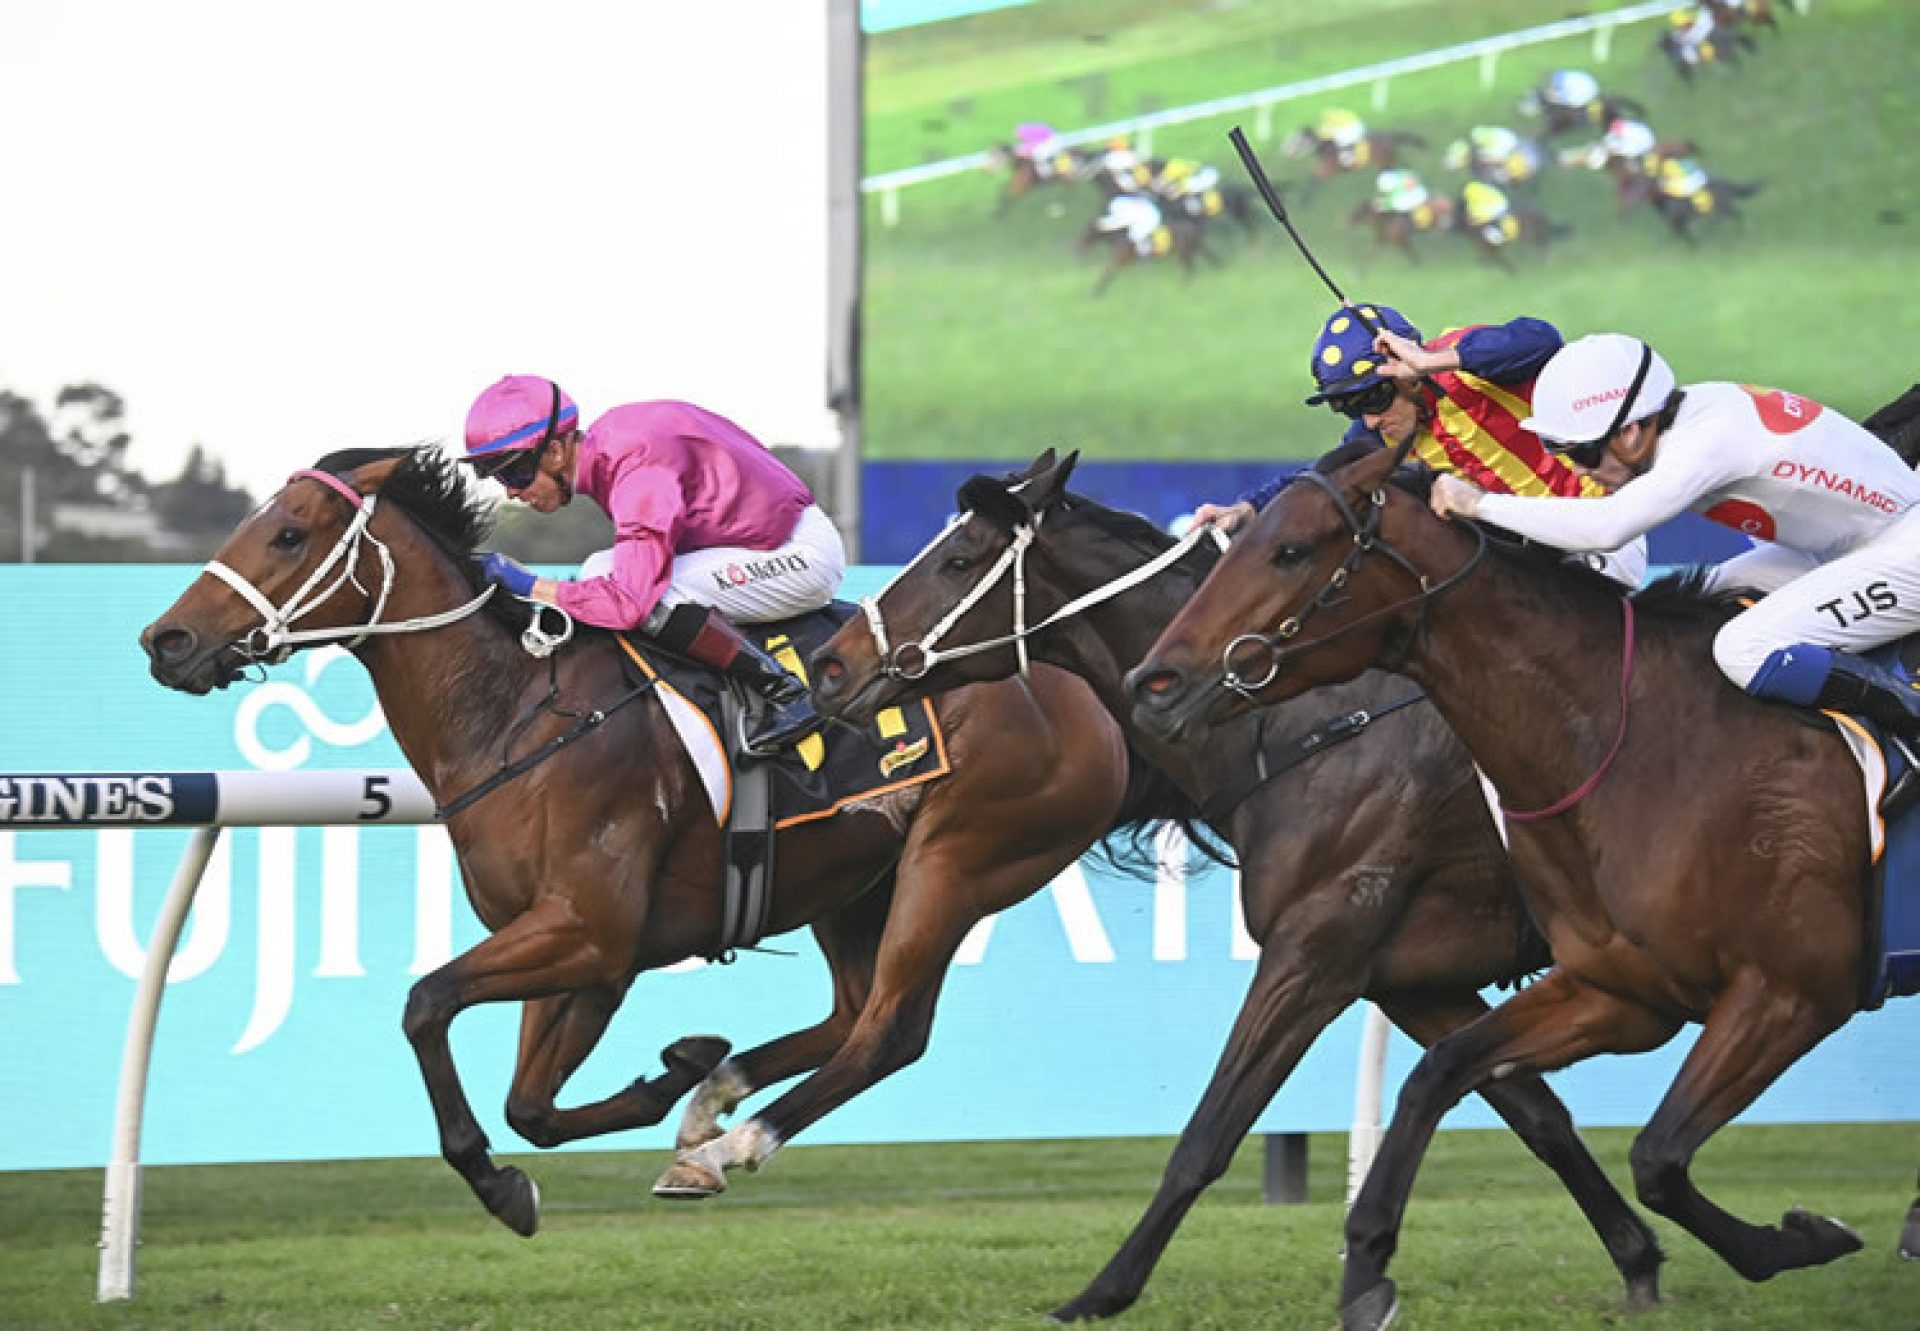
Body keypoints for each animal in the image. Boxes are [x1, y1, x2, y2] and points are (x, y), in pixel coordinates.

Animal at [145, 443, 1152, 1221]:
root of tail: (1083, 689)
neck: (516, 710)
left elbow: (427, 1003)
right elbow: (531, 1105)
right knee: (850, 1012)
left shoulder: (590, 929)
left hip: (959, 859)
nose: (167, 641)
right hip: (855, 879)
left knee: (890, 1029)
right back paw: (712, 1099)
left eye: (288, 533)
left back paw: (725, 1144)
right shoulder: (580, 950)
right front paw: (664, 1076)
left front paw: (500, 1180)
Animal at [802, 455, 1658, 1321]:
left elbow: (1209, 1132)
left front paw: (1103, 1289)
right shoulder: (1407, 977)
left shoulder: (1311, 954)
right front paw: (1639, 1255)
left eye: (958, 558)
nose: (830, 665)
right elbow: (1534, 1111)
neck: (1301, 726)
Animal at [1121, 443, 1904, 1329]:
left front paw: (1803, 1236)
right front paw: (1366, 1266)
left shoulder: (1791, 990)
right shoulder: (1612, 991)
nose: (1154, 683)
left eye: (1290, 550)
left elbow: (1656, 1154)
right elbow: (1468, 1083)